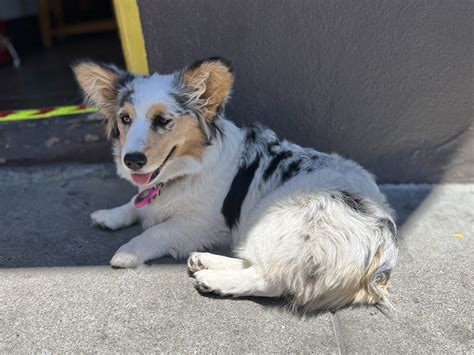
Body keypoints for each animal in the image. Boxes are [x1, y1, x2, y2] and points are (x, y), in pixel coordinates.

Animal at [74, 57, 398, 310]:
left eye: (162, 120)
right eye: (125, 118)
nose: (131, 160)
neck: (186, 170)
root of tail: (380, 250)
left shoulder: (204, 222)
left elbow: (156, 231)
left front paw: (127, 252)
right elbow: (133, 203)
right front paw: (109, 216)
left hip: (272, 219)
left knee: (271, 278)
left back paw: (214, 280)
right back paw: (204, 261)